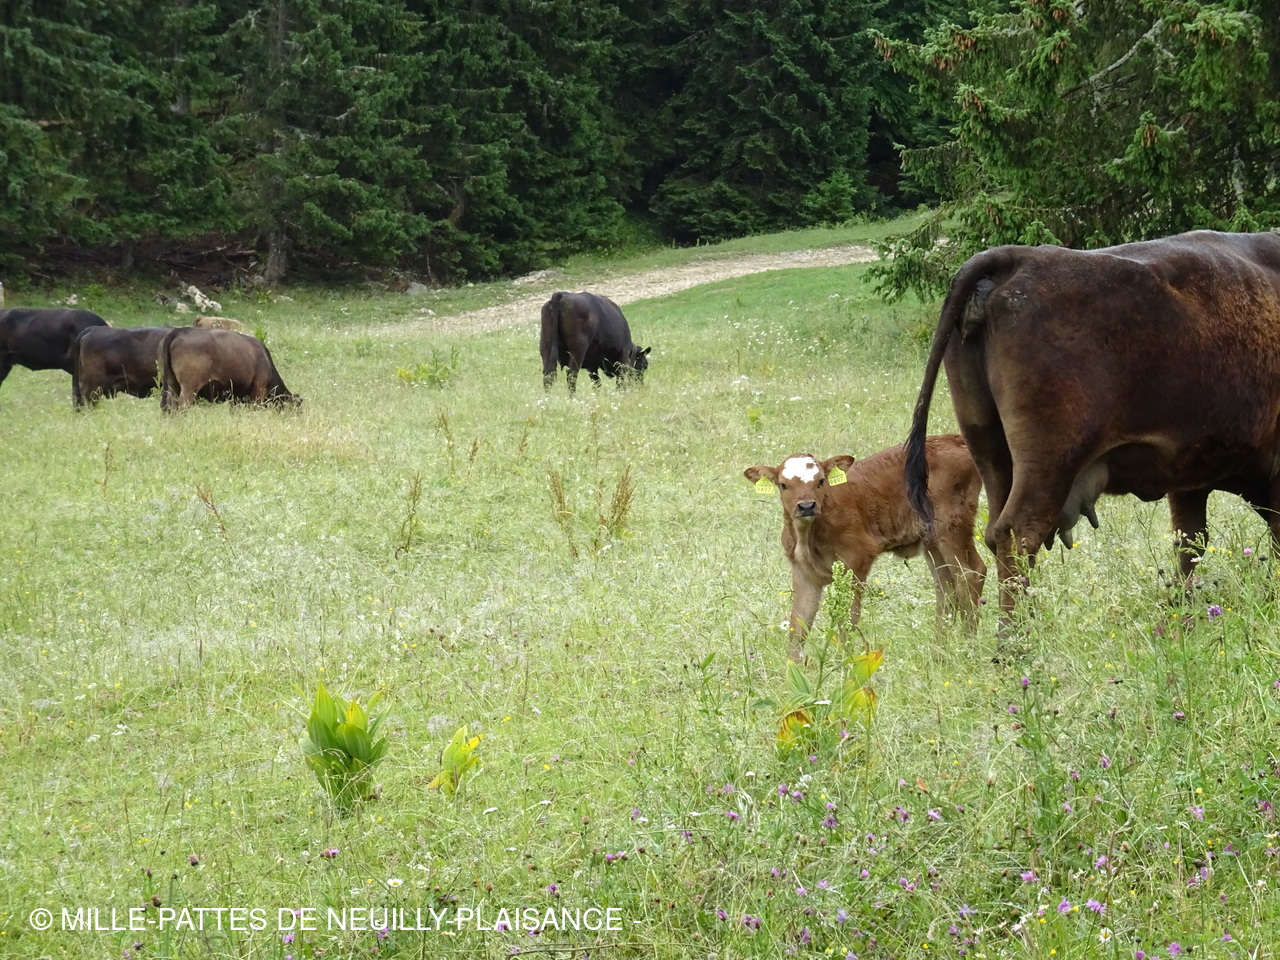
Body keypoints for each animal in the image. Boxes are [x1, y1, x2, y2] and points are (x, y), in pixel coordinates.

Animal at [745, 436, 986, 661]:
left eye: (821, 481)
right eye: (783, 484)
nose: (806, 506)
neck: (808, 537)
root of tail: (953, 439)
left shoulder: (856, 559)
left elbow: (847, 620)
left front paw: (848, 666)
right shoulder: (804, 572)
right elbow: (798, 626)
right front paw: (793, 671)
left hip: (950, 525)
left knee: (971, 573)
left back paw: (969, 648)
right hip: (931, 540)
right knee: (946, 587)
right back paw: (938, 655)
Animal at [905, 230, 1280, 620]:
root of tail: (1015, 260)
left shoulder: (1189, 479)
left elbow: (1190, 547)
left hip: (991, 454)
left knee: (996, 537)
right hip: (1048, 467)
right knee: (1018, 536)